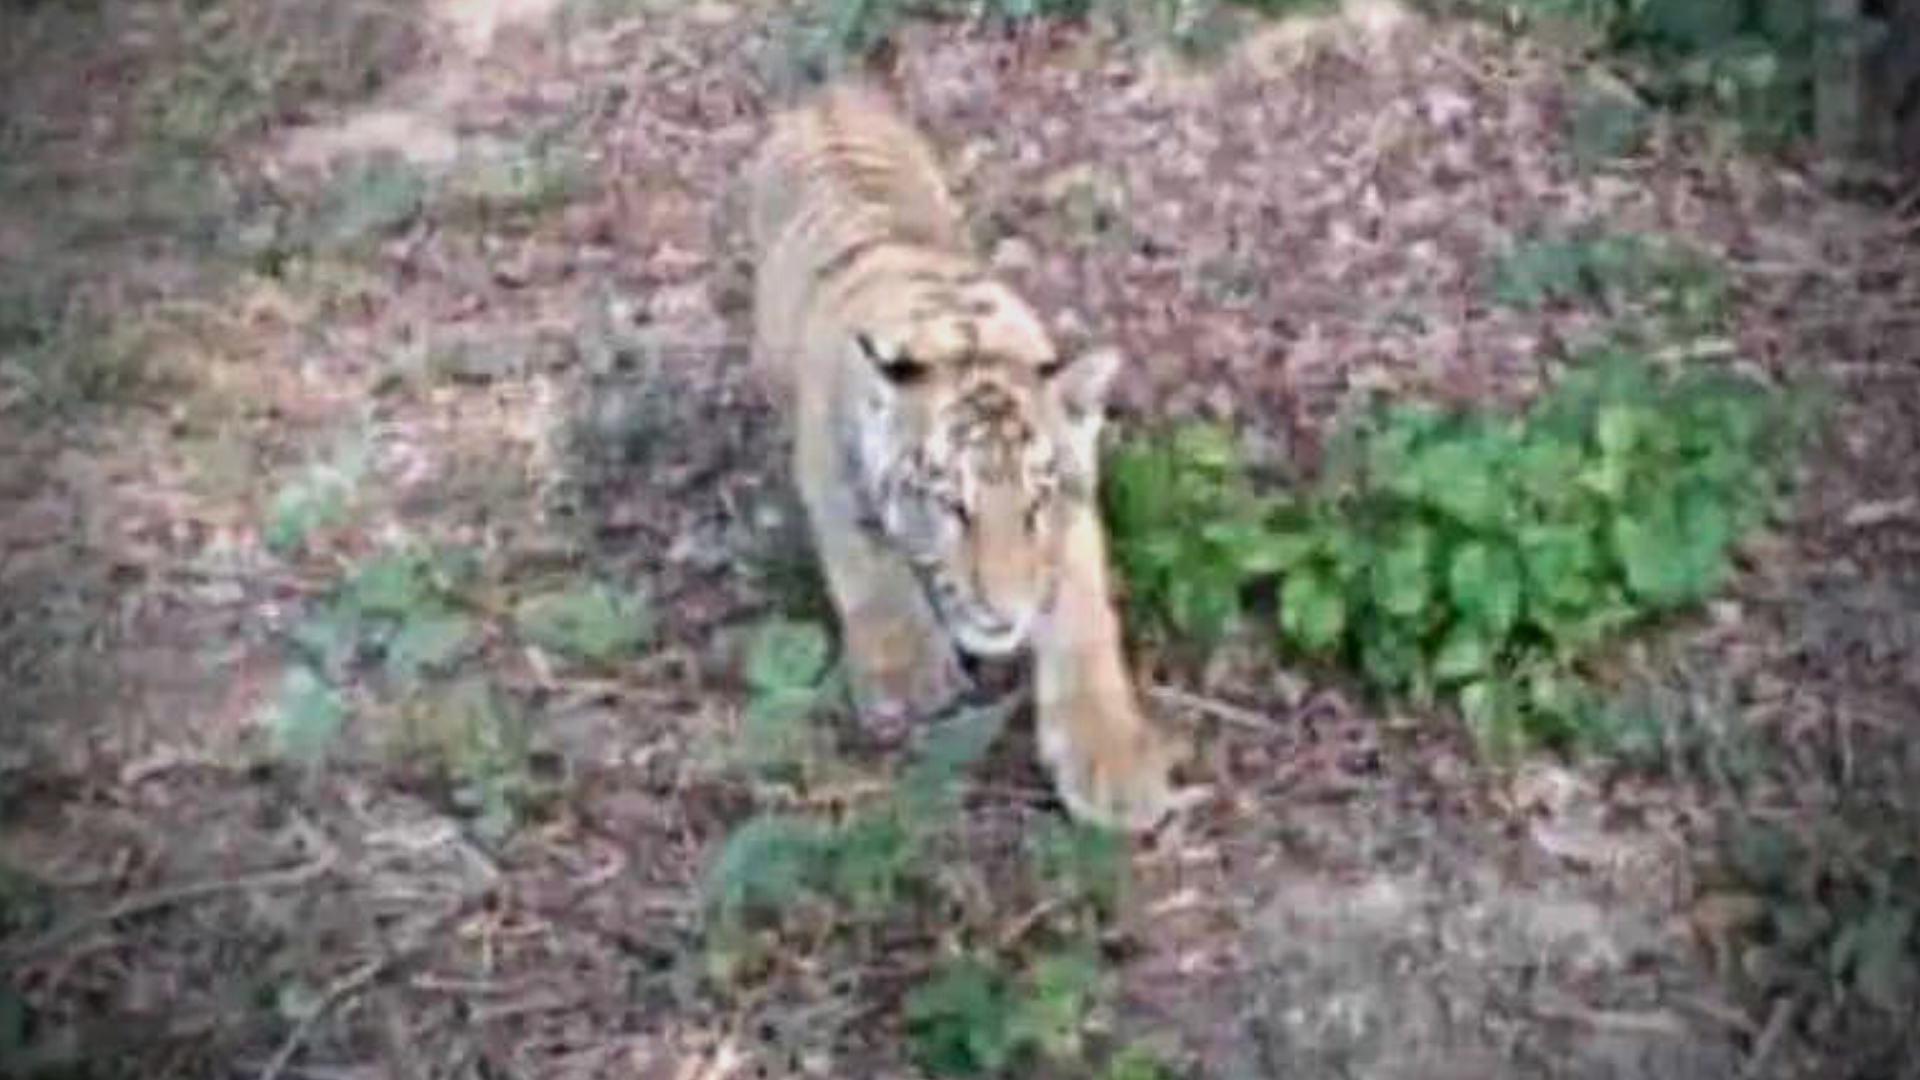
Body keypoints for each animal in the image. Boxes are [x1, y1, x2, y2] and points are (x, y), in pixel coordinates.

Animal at [744, 82, 1167, 834]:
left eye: (1035, 503)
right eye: (952, 506)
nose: (1001, 615)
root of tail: (827, 93)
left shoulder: (1075, 516)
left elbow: (1084, 619)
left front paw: (1112, 760)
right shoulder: (829, 467)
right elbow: (866, 560)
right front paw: (909, 674)